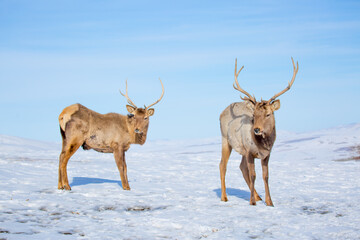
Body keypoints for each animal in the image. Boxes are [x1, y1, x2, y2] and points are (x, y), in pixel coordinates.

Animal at [219, 58, 298, 206]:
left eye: (268, 114)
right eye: (254, 115)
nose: (256, 129)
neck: (263, 144)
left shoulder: (266, 154)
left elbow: (265, 176)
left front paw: (269, 202)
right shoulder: (250, 152)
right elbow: (253, 175)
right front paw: (252, 203)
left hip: (242, 150)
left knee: (241, 167)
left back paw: (257, 196)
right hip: (226, 140)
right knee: (223, 165)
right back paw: (224, 197)